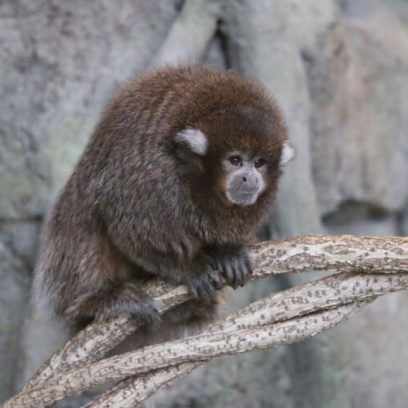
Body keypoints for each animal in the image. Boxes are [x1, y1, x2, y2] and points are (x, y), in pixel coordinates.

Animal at [31, 64, 294, 344]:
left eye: (259, 163)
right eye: (235, 160)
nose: (249, 178)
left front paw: (228, 252)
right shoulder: (152, 176)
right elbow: (129, 234)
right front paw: (188, 269)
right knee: (85, 219)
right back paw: (97, 301)